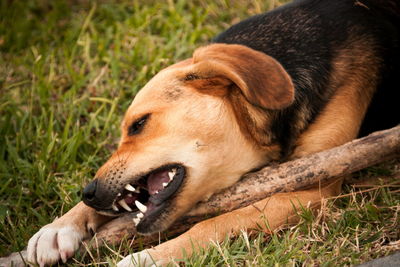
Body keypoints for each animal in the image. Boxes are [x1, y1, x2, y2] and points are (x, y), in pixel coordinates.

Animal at [26, 0, 398, 266]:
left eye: (139, 124)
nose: (88, 192)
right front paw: (57, 229)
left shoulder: (310, 187)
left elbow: (214, 223)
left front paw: (147, 258)